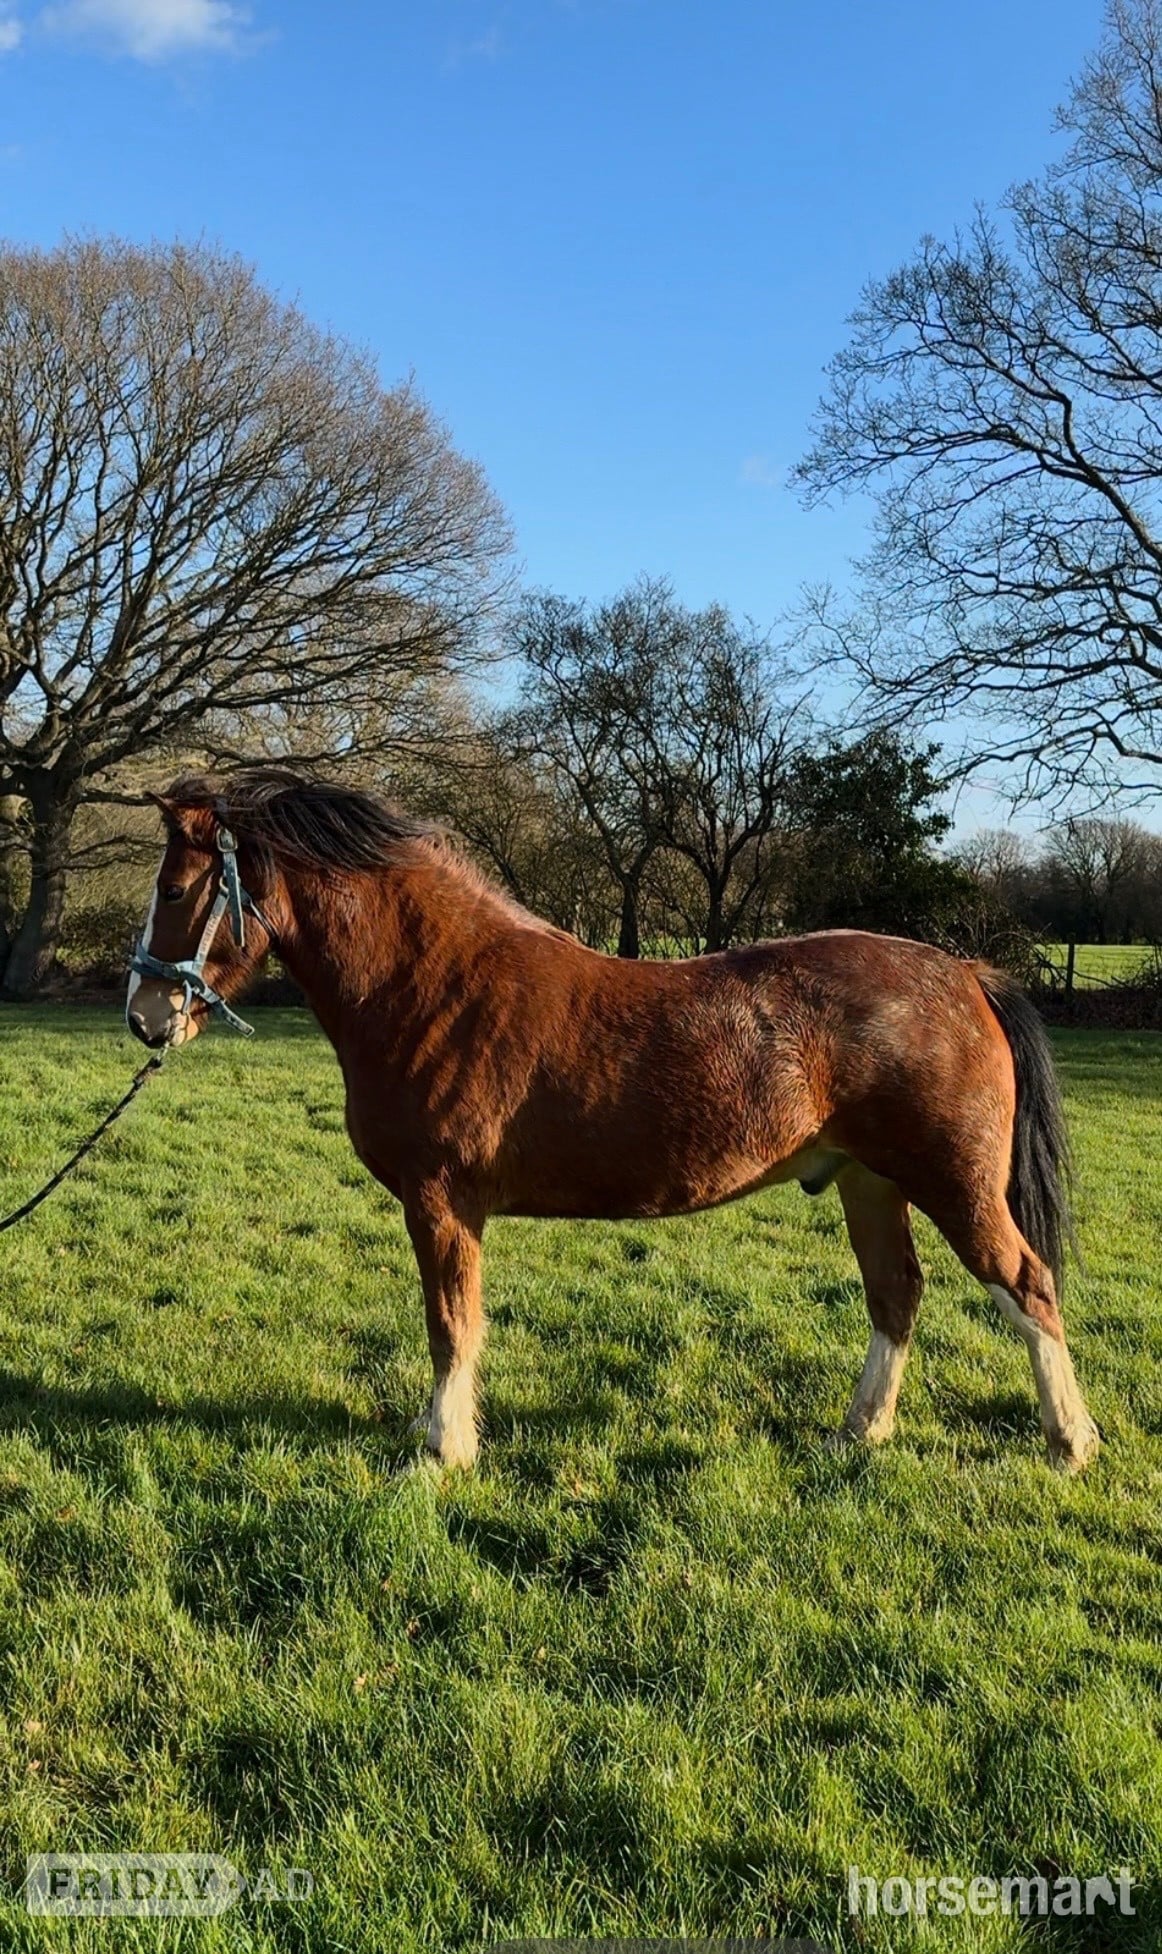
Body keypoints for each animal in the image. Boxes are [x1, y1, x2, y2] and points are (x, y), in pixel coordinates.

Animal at [125, 767, 1100, 1475]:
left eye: (175, 890)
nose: (143, 1016)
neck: (434, 987)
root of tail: (965, 972)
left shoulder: (441, 1204)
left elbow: (451, 1324)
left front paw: (442, 1451)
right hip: (869, 1182)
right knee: (897, 1295)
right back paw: (858, 1433)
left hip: (954, 1184)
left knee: (1028, 1286)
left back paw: (1070, 1443)